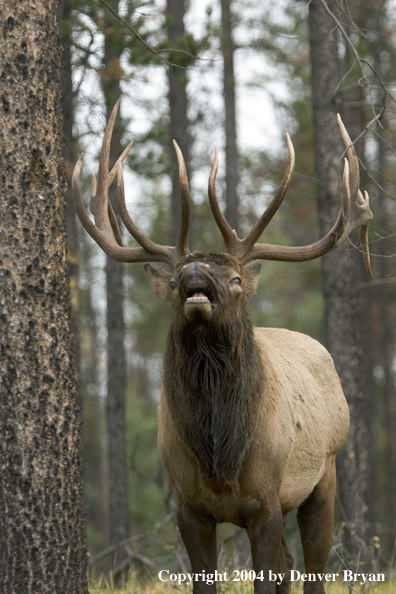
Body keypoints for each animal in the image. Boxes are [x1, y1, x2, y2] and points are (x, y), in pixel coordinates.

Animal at [72, 99, 372, 588]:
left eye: (233, 278)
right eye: (174, 279)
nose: (196, 273)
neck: (220, 459)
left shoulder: (267, 503)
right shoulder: (188, 507)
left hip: (323, 477)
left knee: (312, 568)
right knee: (290, 566)